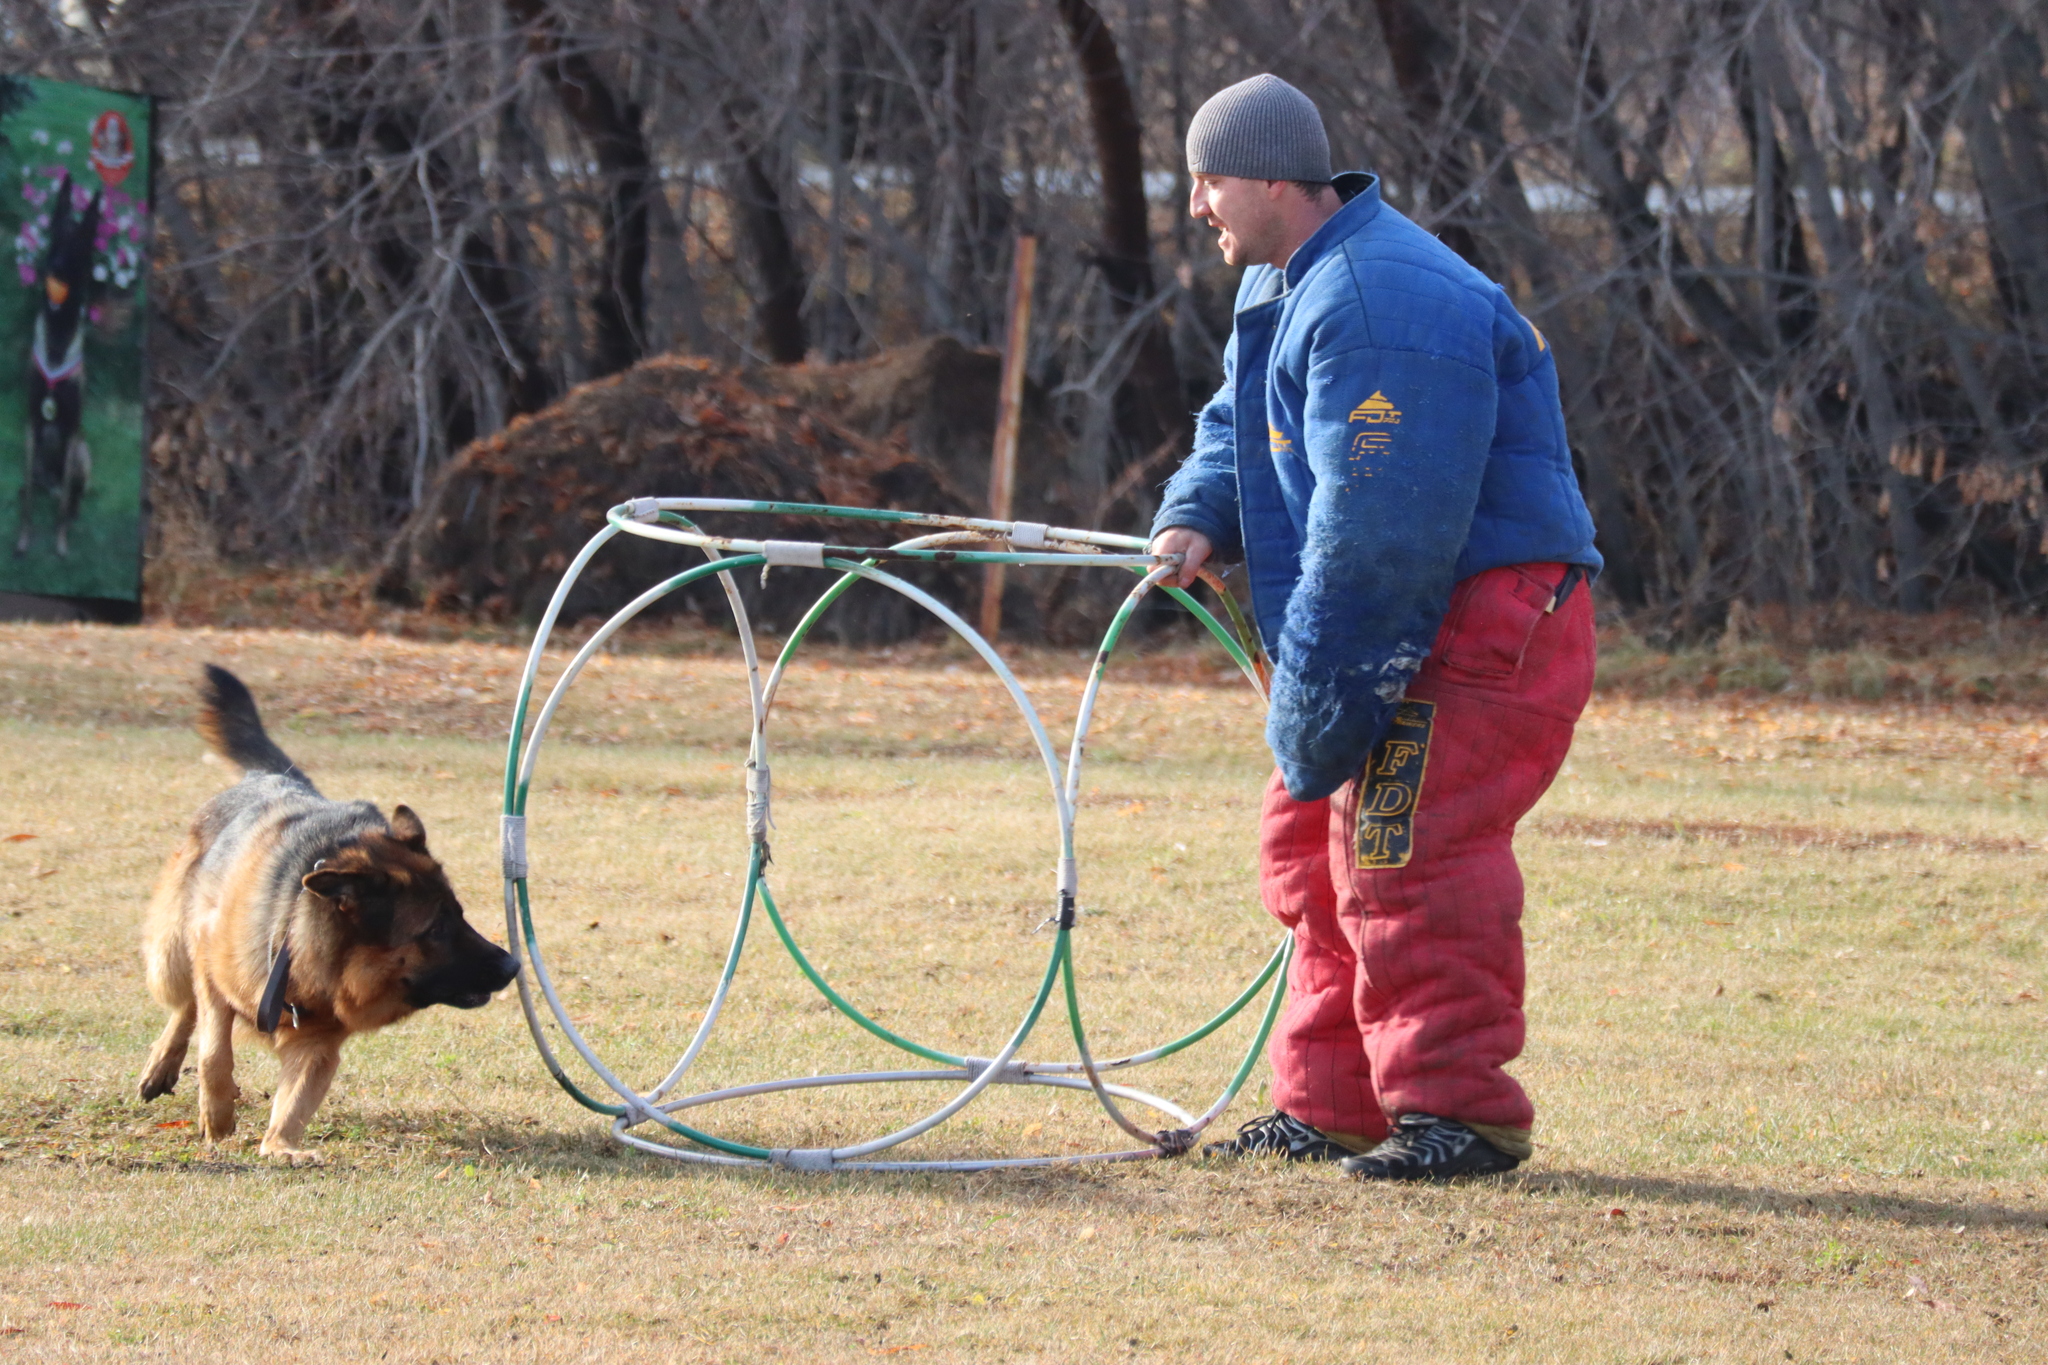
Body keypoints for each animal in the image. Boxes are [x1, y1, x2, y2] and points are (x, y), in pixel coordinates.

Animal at [138, 667, 520, 1162]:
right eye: (435, 928)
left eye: (460, 914)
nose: (513, 965)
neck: (296, 942)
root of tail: (270, 775)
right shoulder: (210, 953)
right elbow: (214, 1051)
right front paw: (218, 1115)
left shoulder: (317, 1045)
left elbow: (293, 1104)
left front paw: (280, 1147)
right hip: (172, 952)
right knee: (186, 1003)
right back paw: (163, 1062)